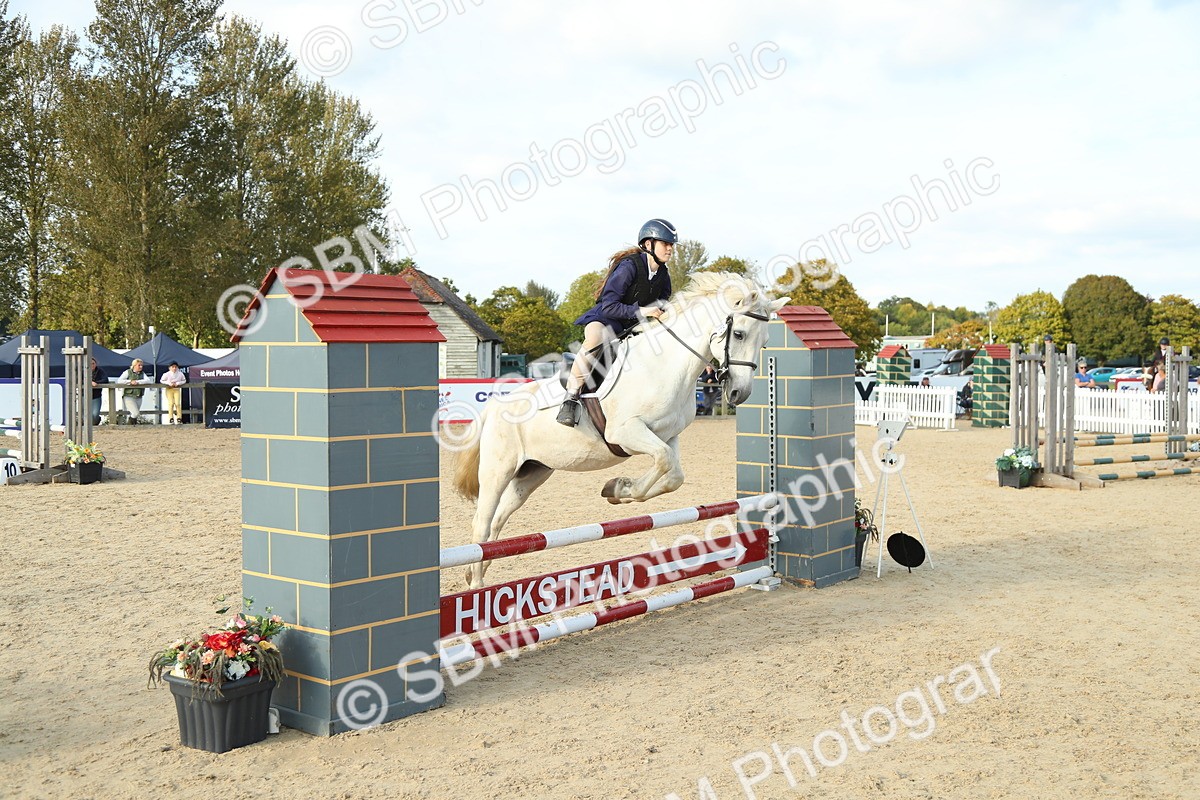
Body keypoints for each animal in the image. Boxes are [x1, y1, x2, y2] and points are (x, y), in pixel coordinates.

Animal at [452, 272, 788, 588]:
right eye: (739, 333)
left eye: (765, 342)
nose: (739, 394)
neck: (666, 366)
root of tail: (494, 406)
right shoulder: (626, 433)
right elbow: (662, 462)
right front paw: (620, 489)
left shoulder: (668, 436)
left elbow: (674, 475)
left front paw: (617, 489)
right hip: (498, 470)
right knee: (482, 522)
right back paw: (477, 585)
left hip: (532, 473)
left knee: (497, 520)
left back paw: (477, 572)